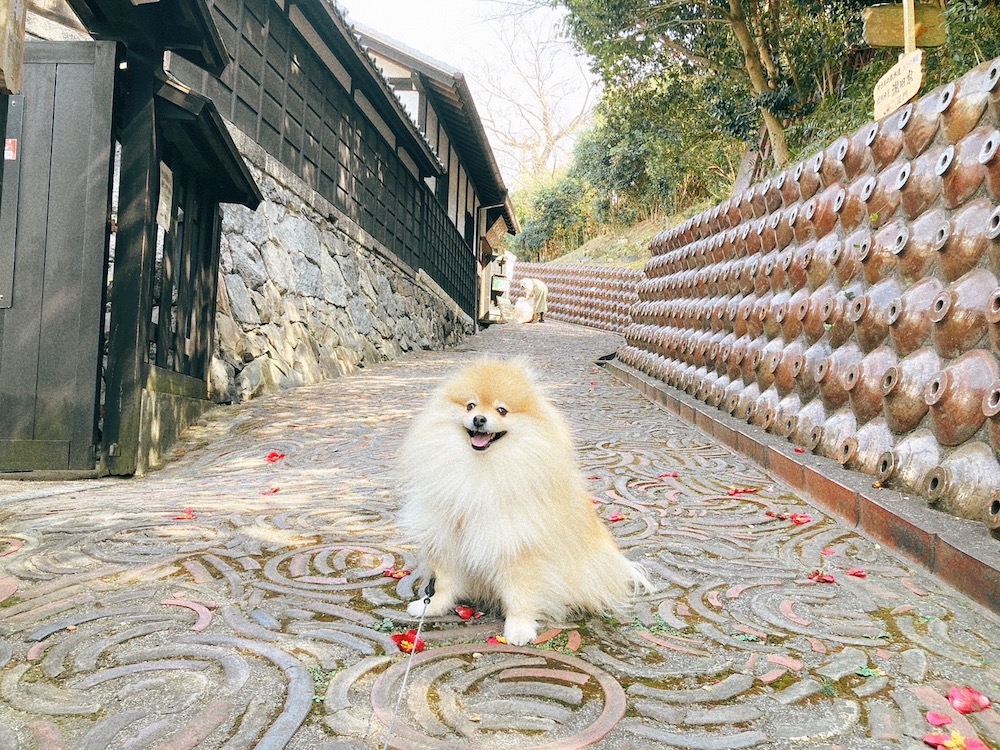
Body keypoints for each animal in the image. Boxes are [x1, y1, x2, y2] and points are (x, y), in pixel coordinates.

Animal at [394, 358, 652, 648]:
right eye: (471, 405)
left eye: (502, 410)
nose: (479, 419)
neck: (482, 470)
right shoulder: (449, 535)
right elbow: (444, 582)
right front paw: (432, 605)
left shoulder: (518, 545)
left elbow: (520, 594)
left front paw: (519, 628)